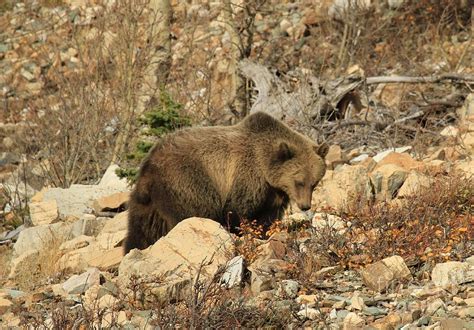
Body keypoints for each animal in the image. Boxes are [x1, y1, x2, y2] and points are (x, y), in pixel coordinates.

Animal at [124, 111, 328, 253]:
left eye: (314, 182)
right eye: (299, 181)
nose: (305, 205)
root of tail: (148, 167)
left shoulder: (273, 193)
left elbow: (268, 216)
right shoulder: (246, 176)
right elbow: (239, 211)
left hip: (146, 203)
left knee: (141, 229)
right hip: (186, 182)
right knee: (192, 212)